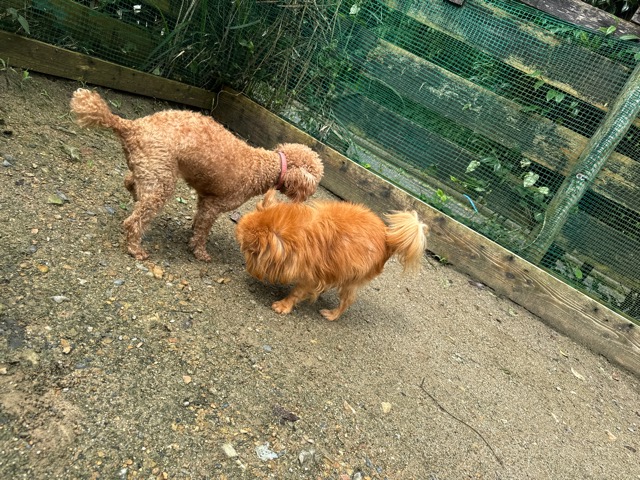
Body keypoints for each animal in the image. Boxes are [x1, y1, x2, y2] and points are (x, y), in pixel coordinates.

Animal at [70, 89, 323, 261]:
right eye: (315, 181)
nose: (309, 195)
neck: (265, 166)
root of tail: (132, 126)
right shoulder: (214, 205)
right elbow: (203, 231)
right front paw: (200, 252)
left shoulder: (204, 200)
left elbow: (198, 222)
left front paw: (191, 236)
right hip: (162, 180)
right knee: (134, 221)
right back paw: (136, 248)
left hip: (154, 170)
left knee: (130, 182)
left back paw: (135, 197)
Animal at [236, 189, 428, 320]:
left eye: (249, 250)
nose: (245, 264)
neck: (296, 233)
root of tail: (388, 238)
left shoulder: (310, 277)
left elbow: (296, 292)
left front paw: (284, 305)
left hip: (352, 281)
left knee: (346, 302)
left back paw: (332, 314)